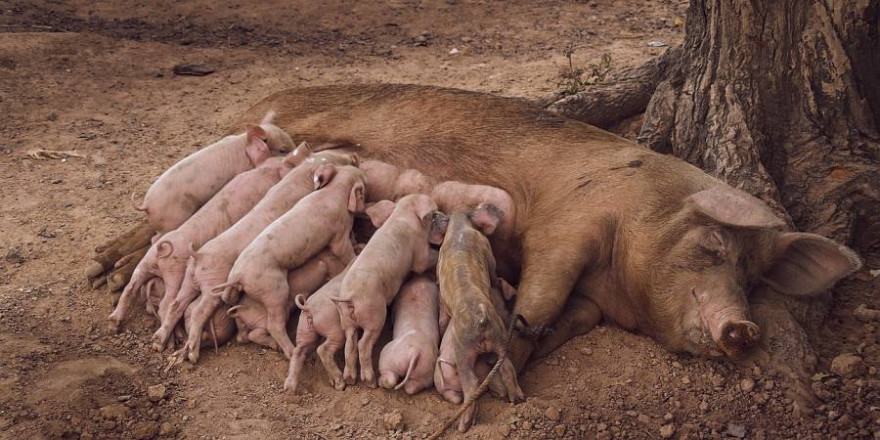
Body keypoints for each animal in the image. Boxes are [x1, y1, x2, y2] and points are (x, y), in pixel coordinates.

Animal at [179, 146, 358, 362]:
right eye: (331, 159)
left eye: (324, 152)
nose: (353, 155)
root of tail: (198, 255)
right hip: (221, 283)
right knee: (201, 311)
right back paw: (193, 354)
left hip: (190, 279)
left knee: (176, 304)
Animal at [334, 194, 450, 386]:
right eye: (433, 214)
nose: (448, 217)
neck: (404, 214)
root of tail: (351, 296)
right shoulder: (419, 251)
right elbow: (423, 262)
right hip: (374, 315)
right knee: (363, 344)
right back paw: (370, 381)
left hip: (346, 319)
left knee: (350, 343)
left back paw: (350, 379)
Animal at [434, 205, 520, 432]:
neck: (458, 229)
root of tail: (481, 317)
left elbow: (441, 316)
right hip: (500, 338)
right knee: (507, 367)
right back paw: (517, 400)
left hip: (462, 351)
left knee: (471, 384)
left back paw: (463, 427)